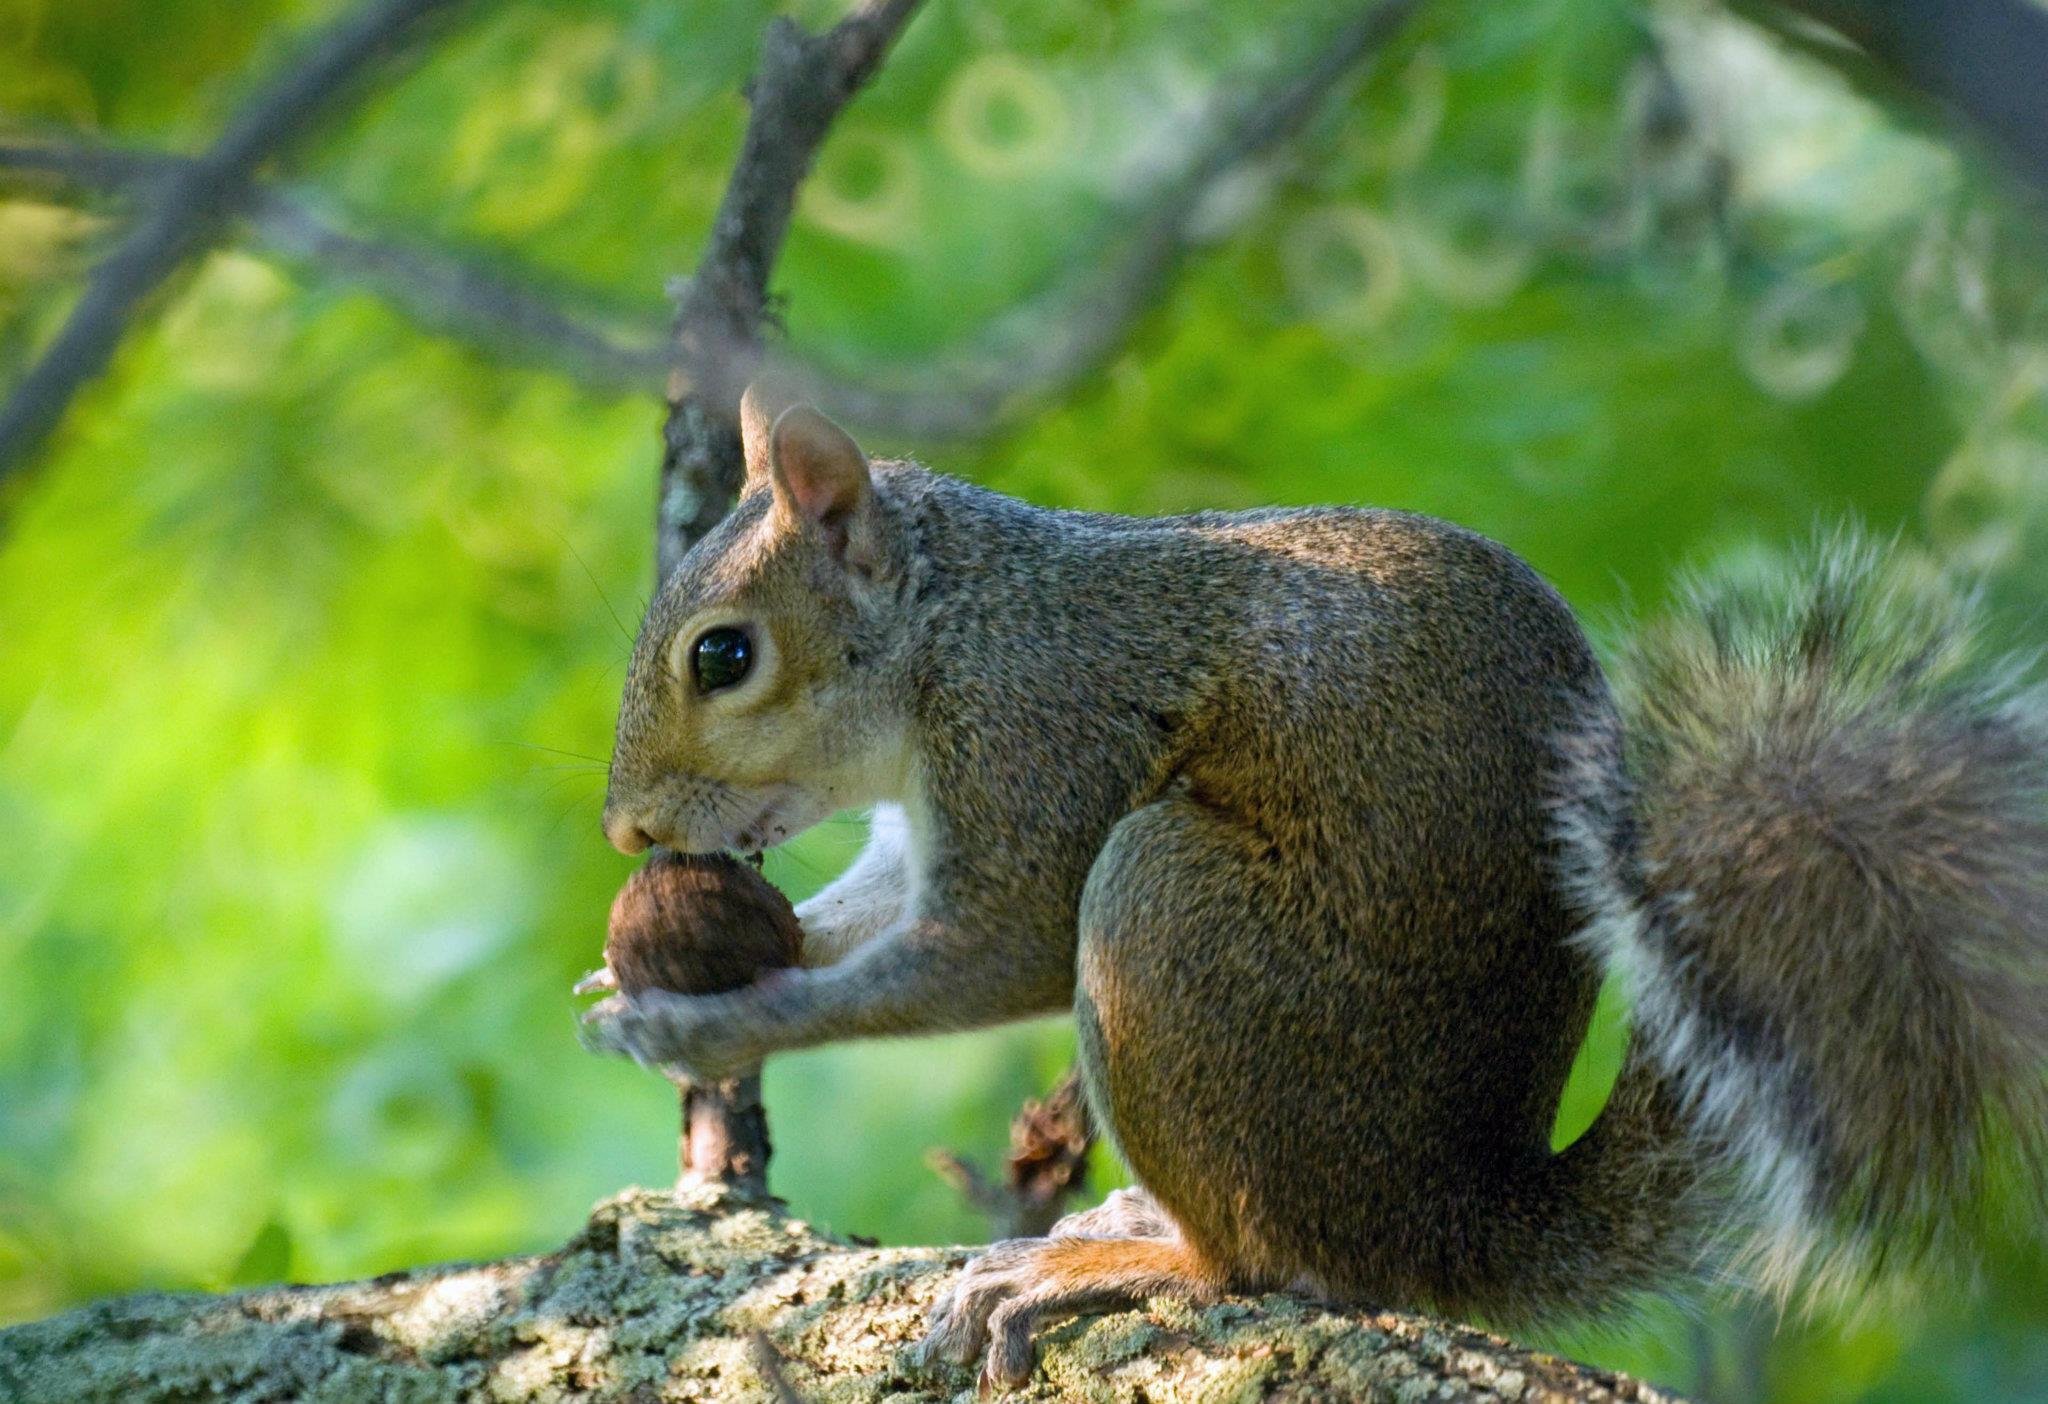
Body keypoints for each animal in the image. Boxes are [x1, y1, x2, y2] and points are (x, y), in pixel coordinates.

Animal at [585, 383, 2048, 1389]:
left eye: (723, 656)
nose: (623, 830)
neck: (957, 627)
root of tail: (1446, 1218)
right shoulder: (919, 823)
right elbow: (862, 919)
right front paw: (648, 973)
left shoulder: (1037, 742)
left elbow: (979, 954)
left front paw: (703, 1024)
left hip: (1168, 916)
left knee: (1257, 1257)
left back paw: (1112, 1262)